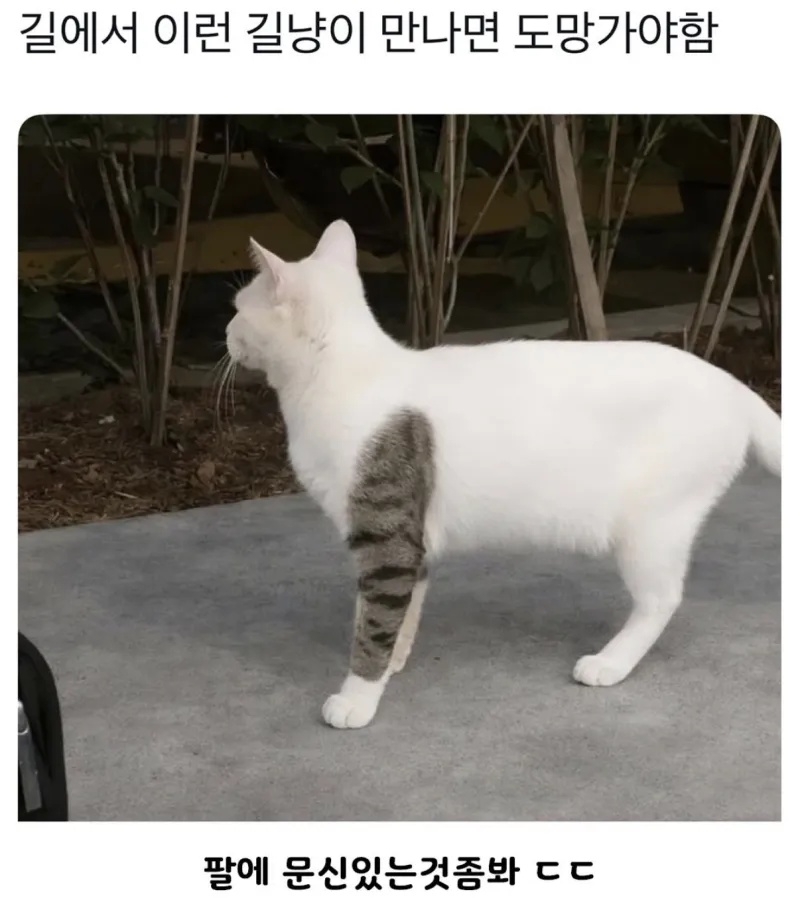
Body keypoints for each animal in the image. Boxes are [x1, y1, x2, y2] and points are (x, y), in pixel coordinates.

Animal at [226, 219, 781, 730]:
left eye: (236, 308)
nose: (226, 335)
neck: (337, 378)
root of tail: (734, 384)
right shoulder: (412, 536)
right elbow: (399, 611)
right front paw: (395, 661)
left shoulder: (386, 536)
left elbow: (374, 621)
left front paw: (359, 696)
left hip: (650, 526)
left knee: (663, 599)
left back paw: (610, 662)